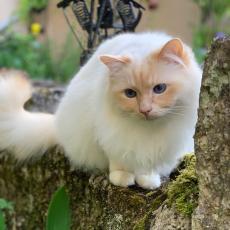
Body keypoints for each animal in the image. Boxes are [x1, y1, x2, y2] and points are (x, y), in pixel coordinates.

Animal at [0, 32, 201, 190]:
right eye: (130, 93)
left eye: (159, 89)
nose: (145, 110)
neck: (148, 130)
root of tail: (57, 123)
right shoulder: (109, 135)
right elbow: (119, 160)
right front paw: (122, 177)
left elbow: (148, 165)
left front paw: (148, 180)